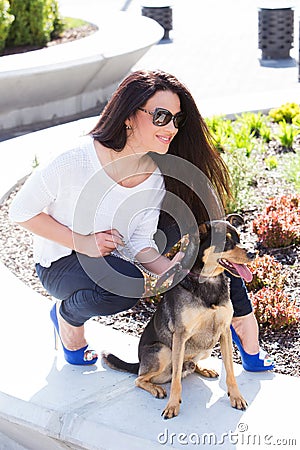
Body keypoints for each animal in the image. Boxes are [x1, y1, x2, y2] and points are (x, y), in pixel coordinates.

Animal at [102, 214, 254, 418]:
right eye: (226, 242)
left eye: (239, 238)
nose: (253, 253)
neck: (208, 281)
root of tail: (139, 363)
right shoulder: (180, 335)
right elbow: (175, 381)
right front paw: (173, 405)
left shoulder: (224, 332)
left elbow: (230, 371)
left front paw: (236, 397)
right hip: (163, 351)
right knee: (140, 378)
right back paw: (155, 388)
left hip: (207, 346)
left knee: (190, 365)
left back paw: (203, 369)